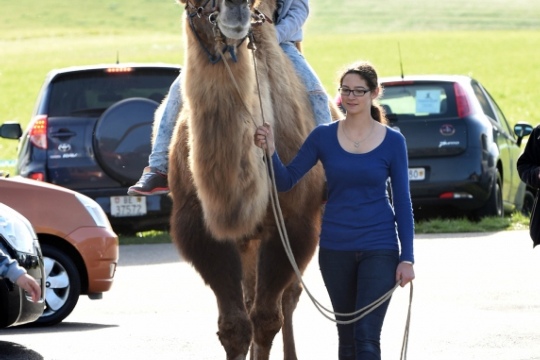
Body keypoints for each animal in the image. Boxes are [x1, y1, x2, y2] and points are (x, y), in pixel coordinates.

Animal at [169, 1, 340, 358]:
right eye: (192, 5)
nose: (235, 11)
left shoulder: (295, 223)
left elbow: (266, 319)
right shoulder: (199, 230)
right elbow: (234, 325)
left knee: (288, 298)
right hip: (248, 242)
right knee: (251, 298)